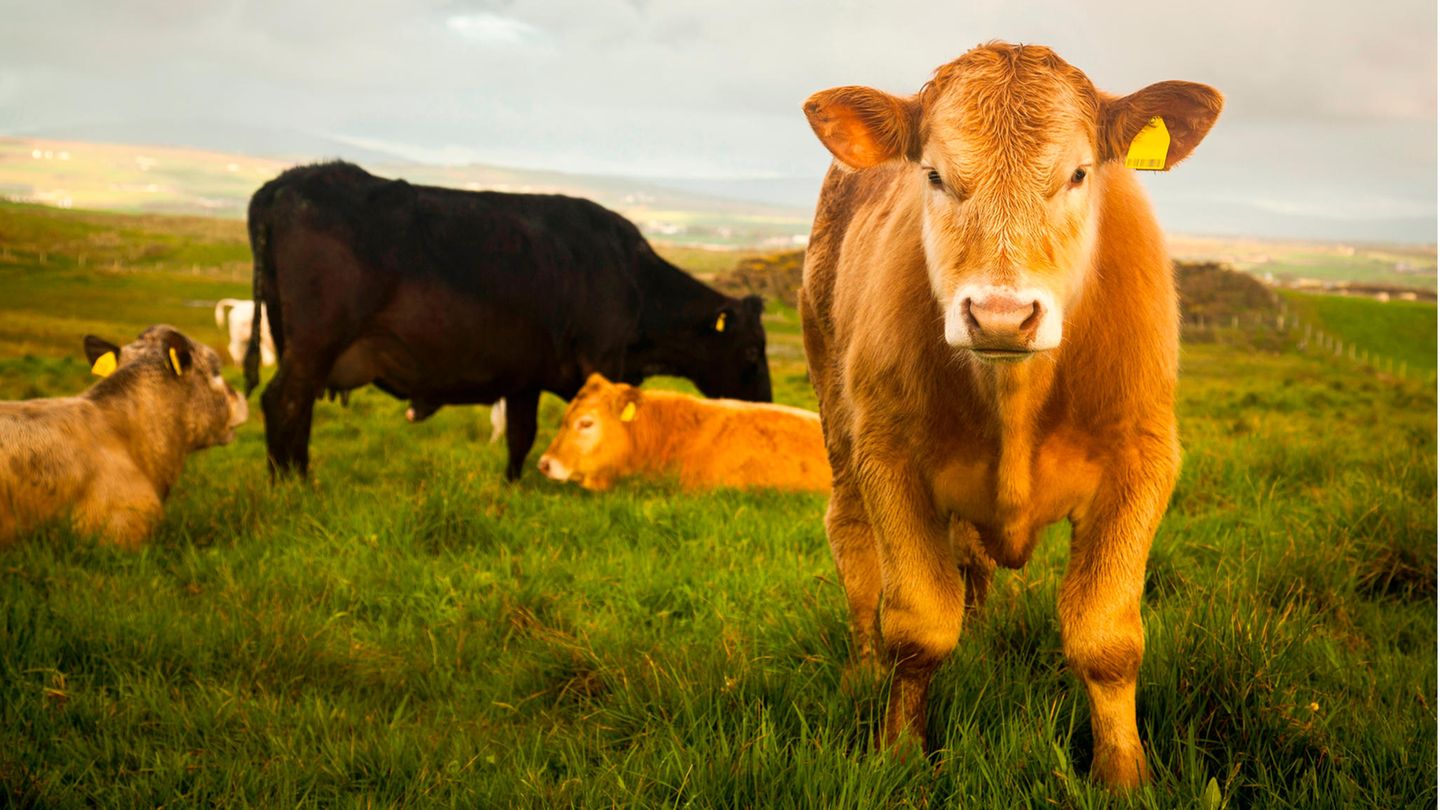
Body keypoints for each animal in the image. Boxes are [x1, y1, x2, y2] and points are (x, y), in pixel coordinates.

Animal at [244, 162, 772, 481]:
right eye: (750, 350)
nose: (767, 407)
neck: (634, 280)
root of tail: (288, 181)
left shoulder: (524, 377)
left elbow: (521, 436)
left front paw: (515, 485)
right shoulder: (600, 359)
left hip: (295, 342)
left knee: (298, 408)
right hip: (316, 342)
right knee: (283, 402)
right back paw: (291, 485)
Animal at [798, 42, 1221, 787]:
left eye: (1079, 173)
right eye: (934, 175)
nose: (1001, 314)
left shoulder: (1143, 459)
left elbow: (1106, 637)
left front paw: (1123, 773)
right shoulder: (888, 459)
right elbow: (917, 628)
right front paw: (898, 754)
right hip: (837, 420)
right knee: (855, 549)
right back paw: (860, 673)